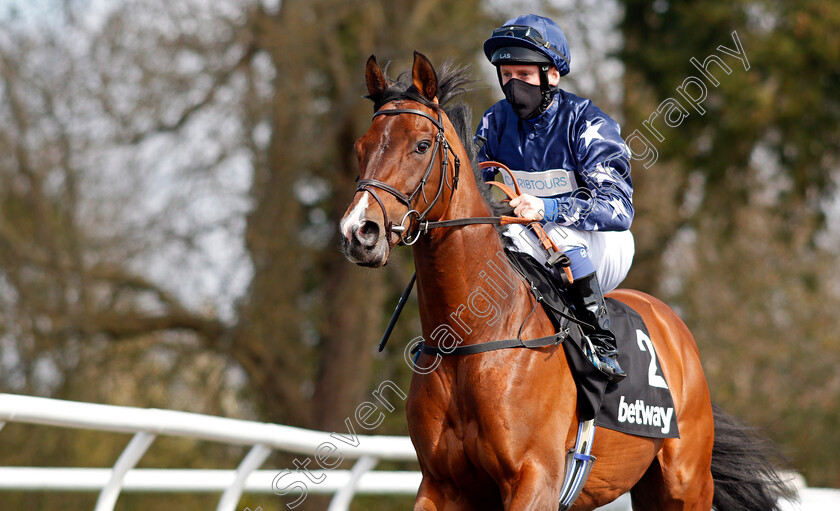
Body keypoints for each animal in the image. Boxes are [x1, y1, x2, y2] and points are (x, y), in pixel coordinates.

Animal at [338, 52, 792, 511]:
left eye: (421, 145)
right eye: (361, 147)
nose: (359, 232)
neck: (472, 339)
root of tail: (674, 327)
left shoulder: (535, 477)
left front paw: (532, 205)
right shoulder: (442, 484)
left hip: (685, 484)